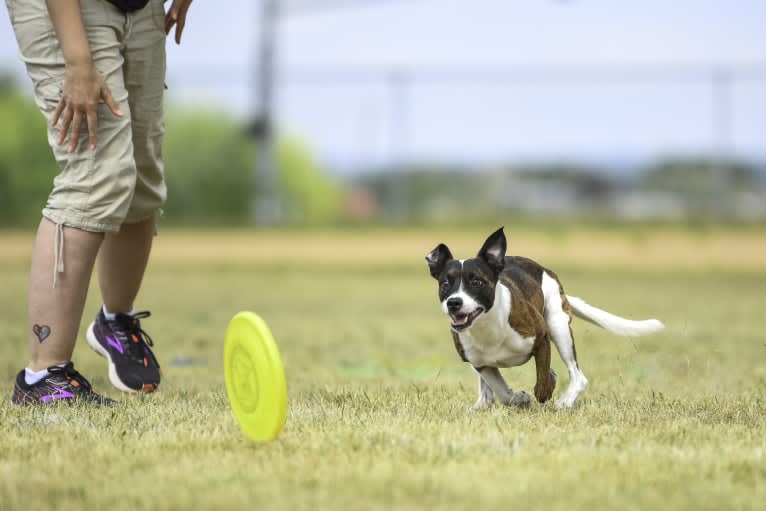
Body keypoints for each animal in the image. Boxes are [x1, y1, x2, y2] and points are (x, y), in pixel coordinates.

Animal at [426, 226, 664, 410]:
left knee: (577, 375)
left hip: (559, 326)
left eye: (476, 281)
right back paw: (482, 405)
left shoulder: (541, 339)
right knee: (488, 392)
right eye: (445, 284)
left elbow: (541, 381)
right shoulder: (480, 363)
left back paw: (565, 402)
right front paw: (518, 398)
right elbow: (500, 390)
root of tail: (544, 269)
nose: (454, 302)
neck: (488, 326)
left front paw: (545, 390)